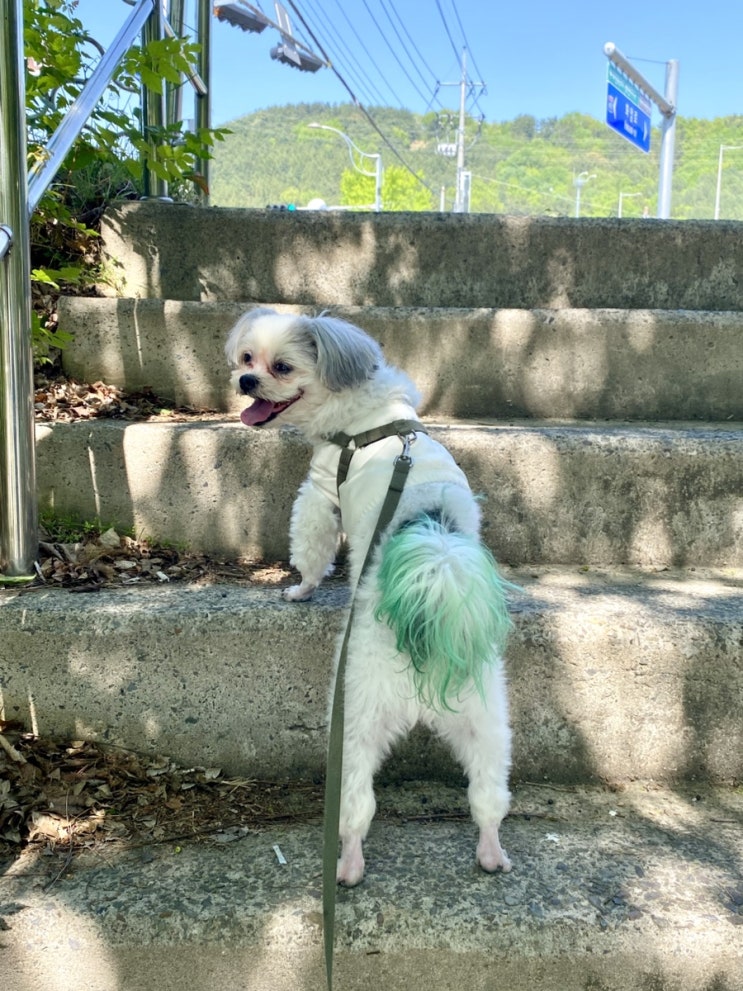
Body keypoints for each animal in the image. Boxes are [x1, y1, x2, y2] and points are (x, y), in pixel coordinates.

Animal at [225, 307, 513, 886]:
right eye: (246, 357)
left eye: (280, 367)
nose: (245, 381)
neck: (367, 414)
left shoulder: (319, 492)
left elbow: (311, 547)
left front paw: (300, 590)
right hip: (487, 721)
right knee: (489, 797)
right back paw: (491, 851)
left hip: (356, 719)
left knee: (356, 805)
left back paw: (349, 865)